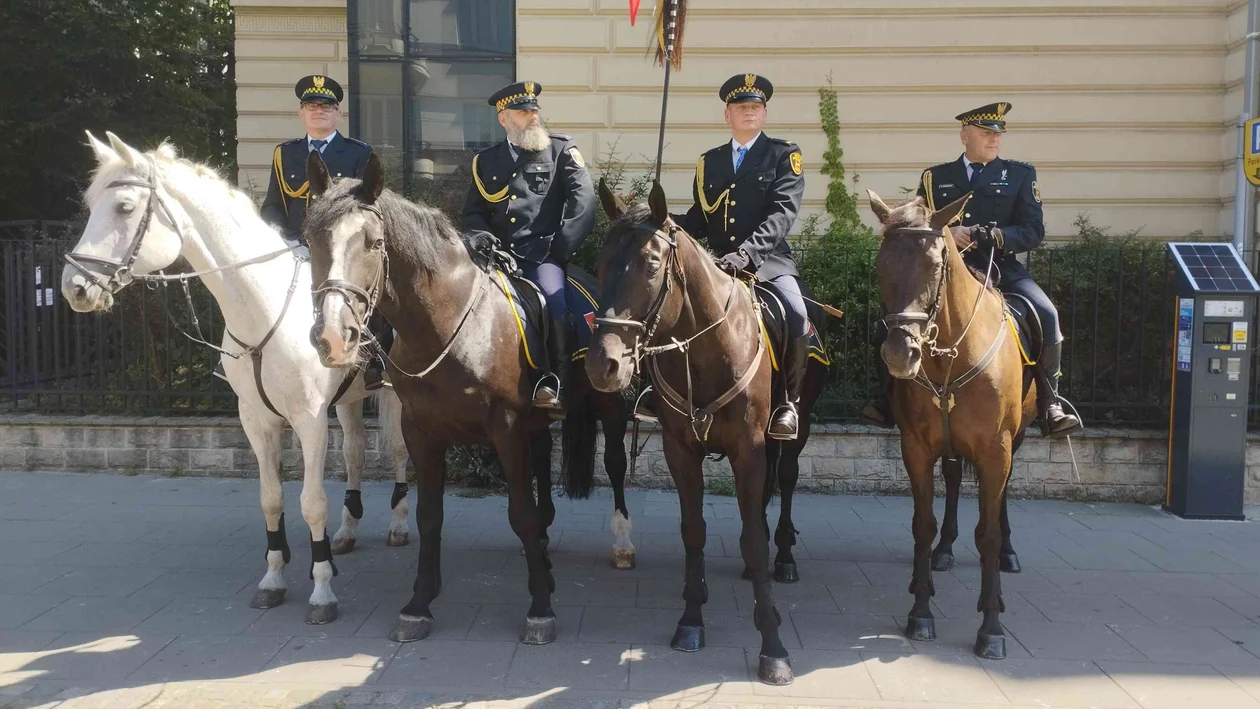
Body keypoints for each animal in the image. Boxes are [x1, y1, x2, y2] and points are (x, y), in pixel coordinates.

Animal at [62, 133, 408, 627]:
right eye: (91, 204)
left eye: (125, 207)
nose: (74, 286)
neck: (263, 309)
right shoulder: (256, 421)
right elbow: (271, 498)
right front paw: (275, 577)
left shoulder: (309, 420)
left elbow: (311, 501)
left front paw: (321, 588)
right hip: (347, 399)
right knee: (356, 454)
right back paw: (346, 531)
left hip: (394, 395)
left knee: (397, 450)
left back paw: (398, 524)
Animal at [301, 152, 635, 644]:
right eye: (311, 239)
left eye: (374, 242)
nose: (331, 338)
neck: (449, 323)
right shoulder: (420, 431)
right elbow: (429, 516)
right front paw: (420, 603)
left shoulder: (506, 427)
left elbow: (520, 513)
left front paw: (540, 607)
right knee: (542, 464)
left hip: (608, 406)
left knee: (613, 465)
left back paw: (621, 543)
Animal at [587, 182, 831, 690]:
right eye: (599, 265)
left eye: (651, 264)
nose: (604, 364)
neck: (704, 350)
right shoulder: (681, 451)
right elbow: (693, 531)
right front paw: (691, 620)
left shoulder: (749, 450)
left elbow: (755, 537)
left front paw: (773, 646)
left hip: (797, 429)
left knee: (787, 481)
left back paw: (784, 558)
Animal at [866, 190, 1033, 659]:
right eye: (880, 265)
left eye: (936, 264)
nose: (899, 354)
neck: (950, 356)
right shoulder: (917, 447)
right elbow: (922, 525)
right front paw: (921, 611)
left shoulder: (996, 448)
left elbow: (988, 533)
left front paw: (992, 628)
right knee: (956, 481)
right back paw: (942, 553)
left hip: (1015, 439)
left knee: (1003, 495)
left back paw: (1007, 558)